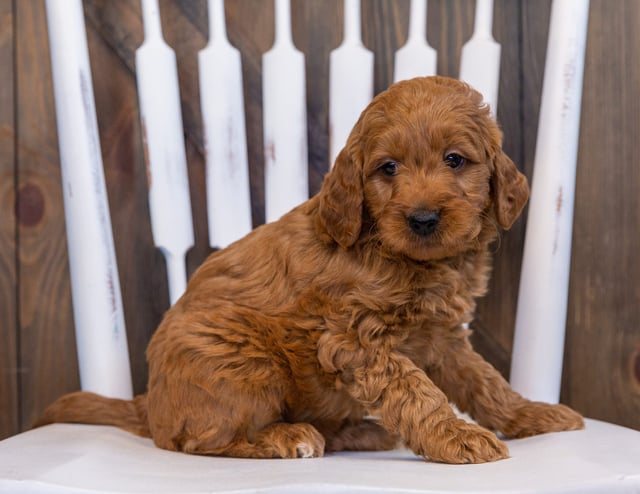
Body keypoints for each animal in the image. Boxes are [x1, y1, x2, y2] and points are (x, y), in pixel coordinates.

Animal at [36, 76, 584, 464]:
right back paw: (288, 438)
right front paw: (457, 438)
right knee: (199, 441)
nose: (424, 218)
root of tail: (149, 403)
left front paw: (531, 414)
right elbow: (417, 392)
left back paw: (359, 431)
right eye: (387, 168)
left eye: (455, 160)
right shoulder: (356, 339)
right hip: (244, 361)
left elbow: (486, 383)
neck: (402, 256)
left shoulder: (443, 337)